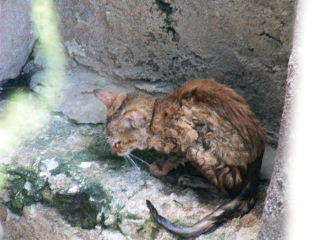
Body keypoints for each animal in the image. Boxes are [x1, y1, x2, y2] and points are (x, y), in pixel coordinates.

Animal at [94, 79, 266, 238]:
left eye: (118, 143)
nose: (114, 151)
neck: (156, 116)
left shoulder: (185, 138)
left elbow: (171, 159)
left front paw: (158, 167)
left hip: (200, 147)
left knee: (226, 190)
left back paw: (192, 180)